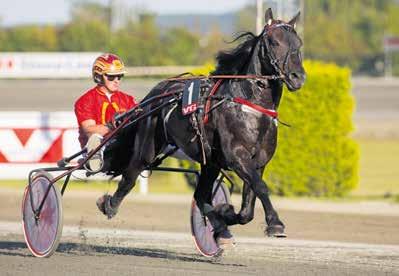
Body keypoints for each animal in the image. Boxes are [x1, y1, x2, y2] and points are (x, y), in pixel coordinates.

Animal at [97, 8, 306, 240]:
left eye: (298, 43)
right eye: (274, 42)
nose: (297, 77)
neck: (250, 105)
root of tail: (156, 92)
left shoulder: (258, 161)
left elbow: (247, 208)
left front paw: (226, 213)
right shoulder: (237, 157)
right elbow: (260, 187)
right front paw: (275, 223)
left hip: (210, 162)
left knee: (200, 196)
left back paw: (218, 225)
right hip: (148, 147)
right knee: (130, 175)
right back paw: (109, 205)